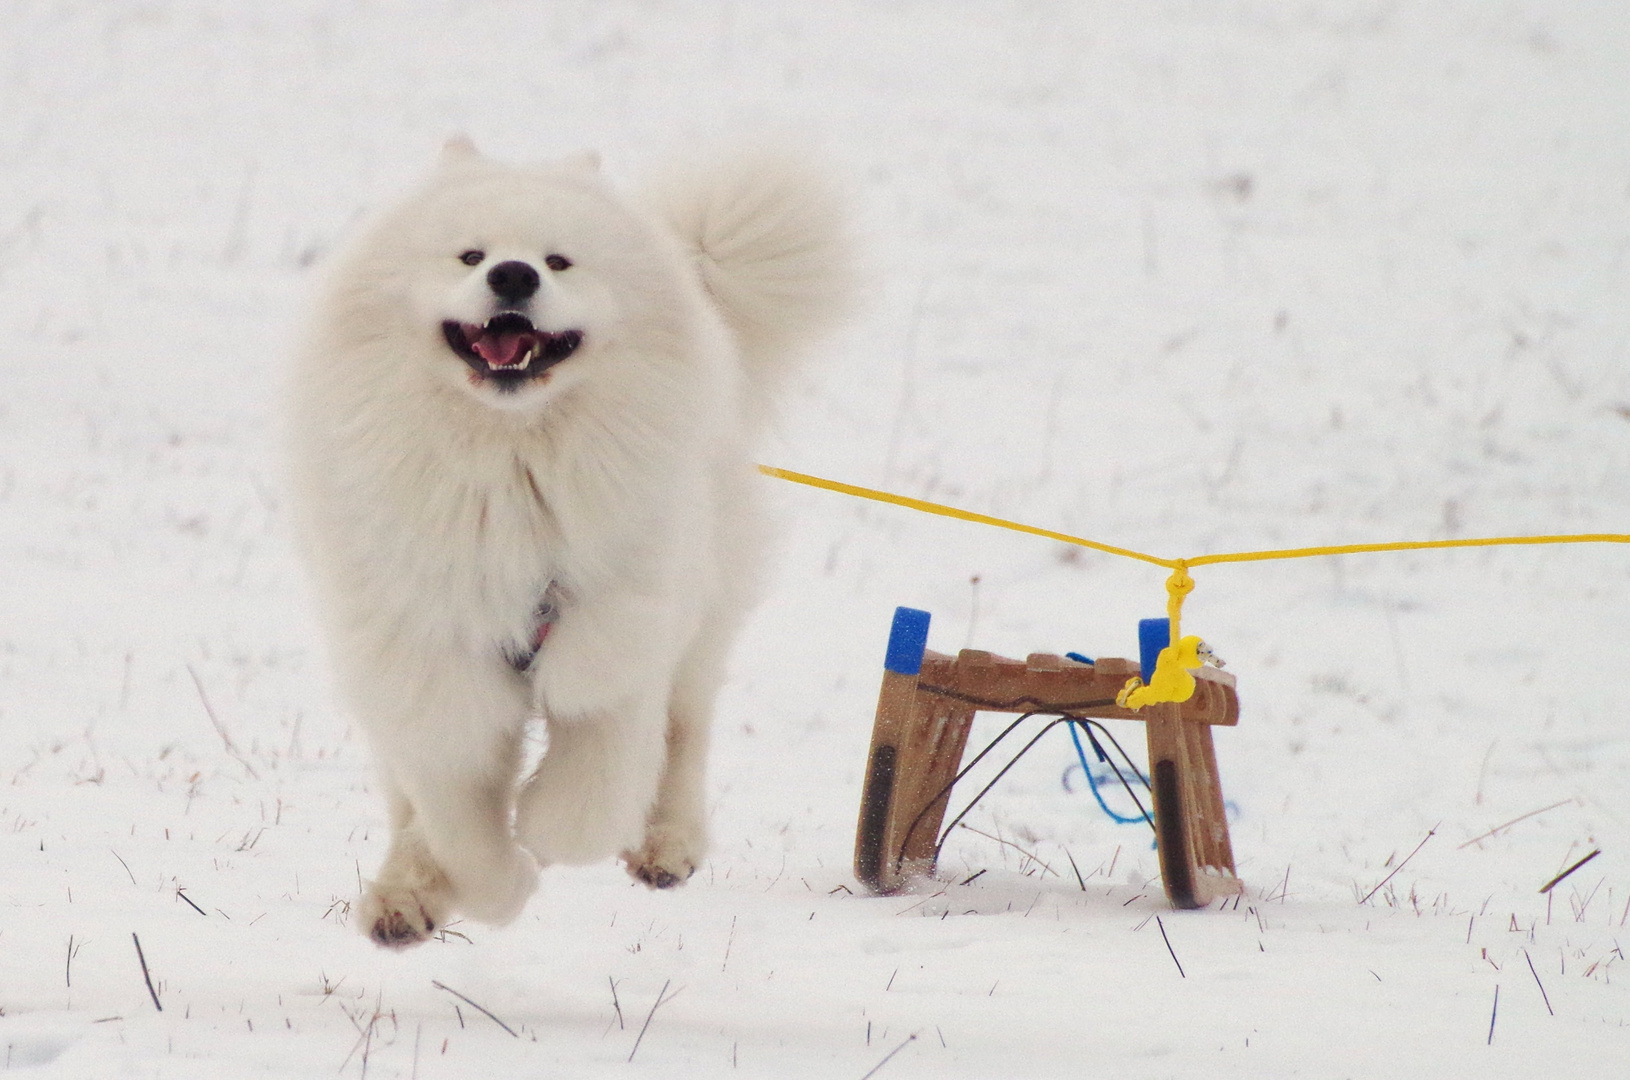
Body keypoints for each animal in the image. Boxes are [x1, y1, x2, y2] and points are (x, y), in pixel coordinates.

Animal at [291, 139, 847, 951]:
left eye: (558, 261)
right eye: (470, 255)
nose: (513, 275)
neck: (509, 464)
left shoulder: (612, 646)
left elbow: (588, 802)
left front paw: (543, 839)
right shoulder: (429, 666)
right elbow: (457, 820)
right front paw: (493, 887)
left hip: (698, 618)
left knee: (685, 736)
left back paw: (665, 848)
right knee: (407, 804)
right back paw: (403, 899)